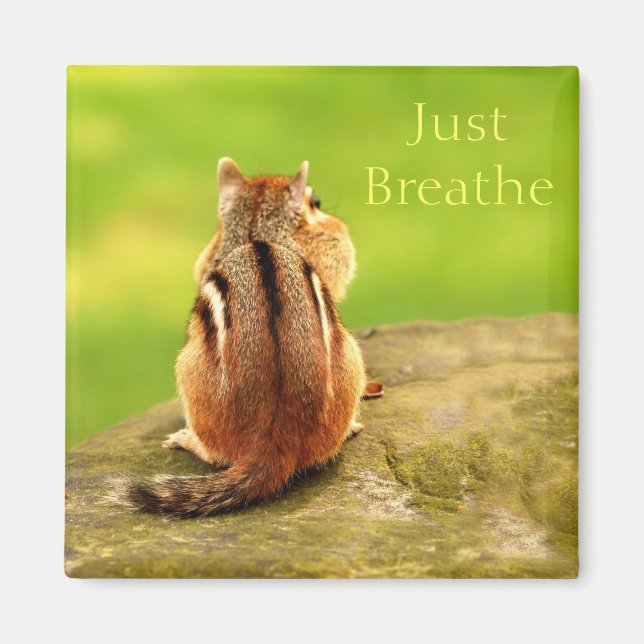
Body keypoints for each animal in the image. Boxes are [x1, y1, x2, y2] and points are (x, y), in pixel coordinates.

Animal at [114, 158, 368, 518]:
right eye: (316, 202)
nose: (338, 223)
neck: (256, 231)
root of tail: (273, 441)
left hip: (187, 371)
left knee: (215, 453)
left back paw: (186, 439)